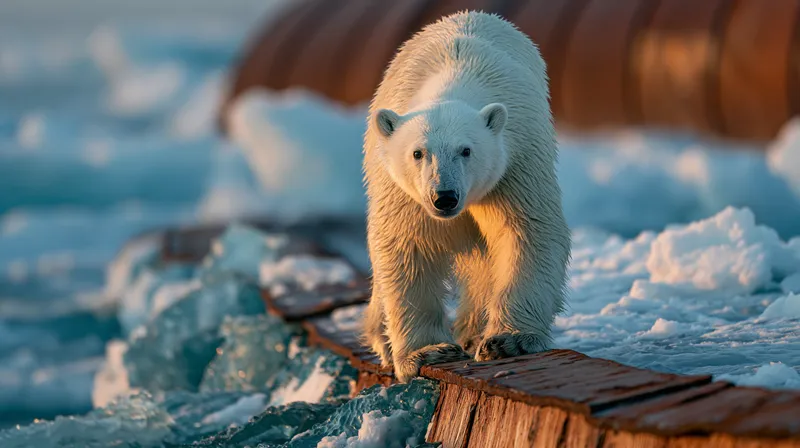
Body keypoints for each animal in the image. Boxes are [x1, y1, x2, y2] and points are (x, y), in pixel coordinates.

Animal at [361, 11, 571, 382]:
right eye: (418, 153)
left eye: (466, 150)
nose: (444, 197)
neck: (456, 70)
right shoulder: (403, 192)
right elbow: (406, 246)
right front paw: (429, 351)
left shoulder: (516, 161)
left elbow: (527, 230)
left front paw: (508, 340)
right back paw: (384, 338)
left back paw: (473, 332)